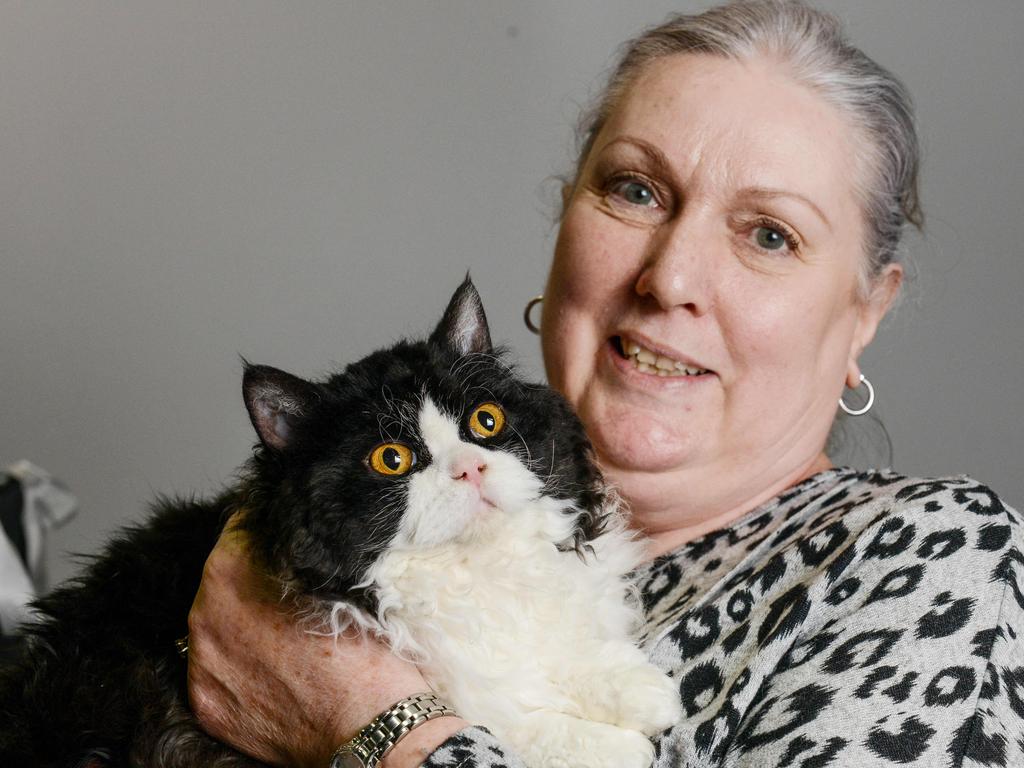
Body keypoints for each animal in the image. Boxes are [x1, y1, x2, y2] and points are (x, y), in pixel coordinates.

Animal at [0, 280, 679, 768]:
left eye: (485, 422)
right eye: (391, 460)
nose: (469, 469)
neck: (478, 571)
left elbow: (574, 652)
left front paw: (648, 692)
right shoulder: (461, 682)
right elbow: (519, 720)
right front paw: (627, 744)